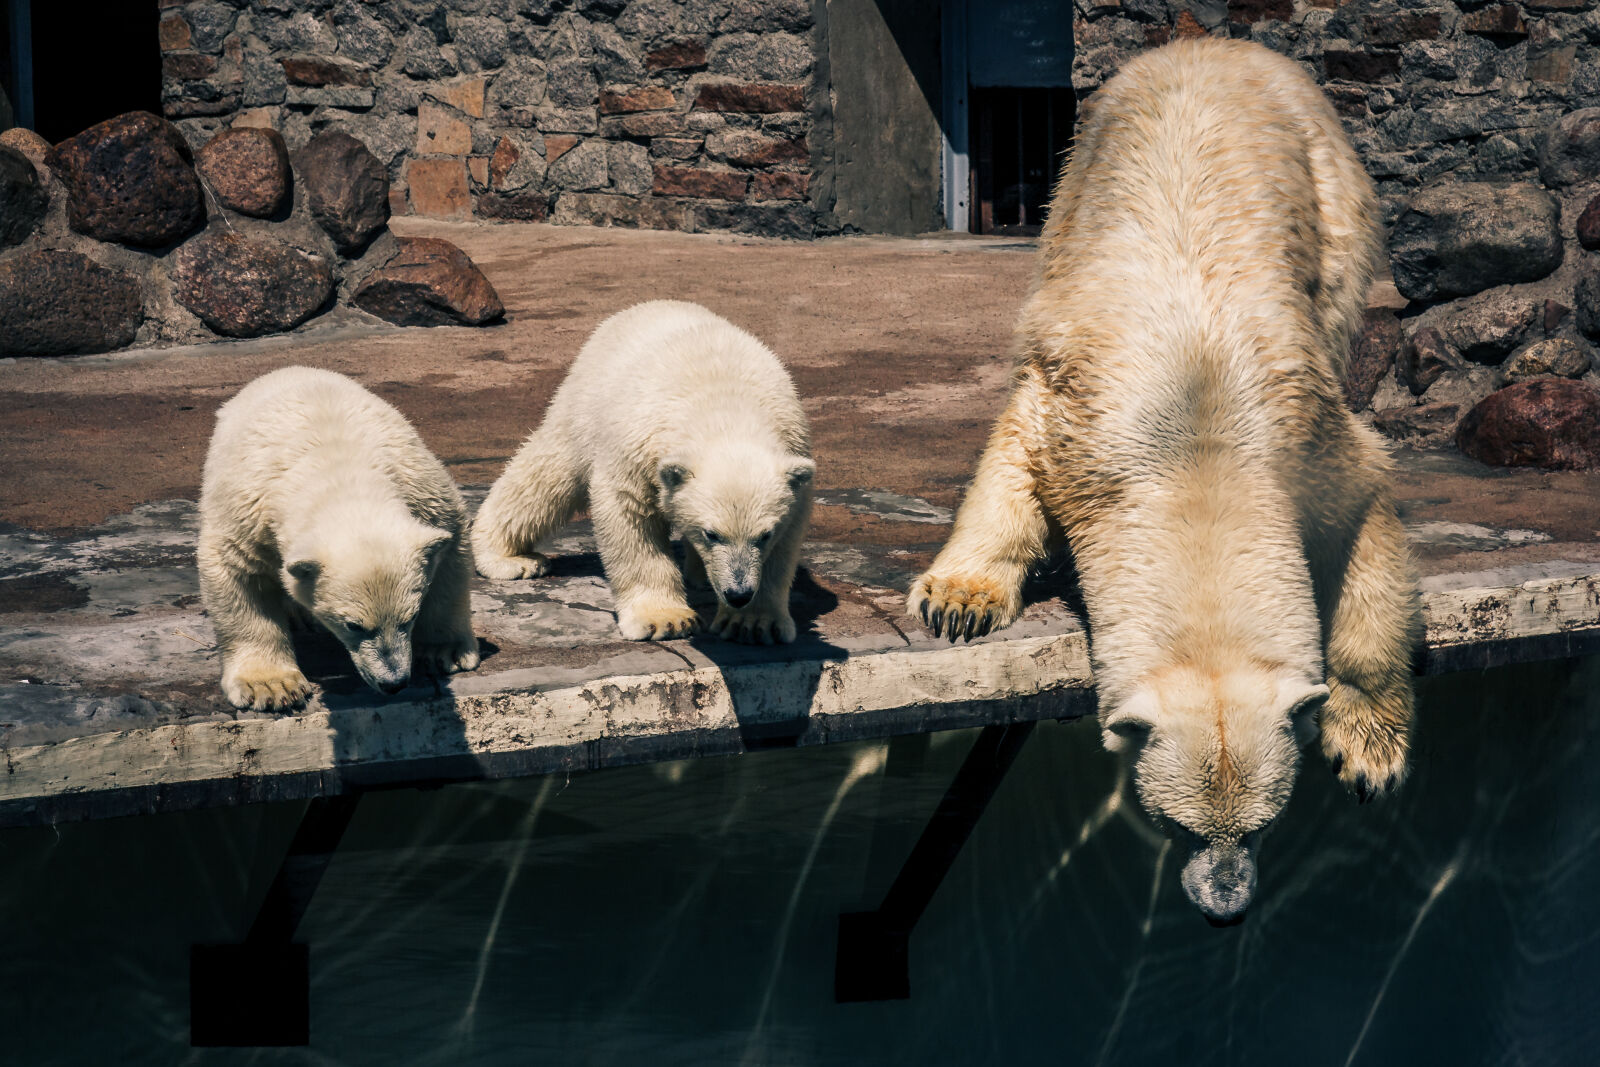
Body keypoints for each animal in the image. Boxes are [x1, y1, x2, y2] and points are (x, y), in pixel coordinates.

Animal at [199, 367, 476, 710]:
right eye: (353, 625)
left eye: (409, 618)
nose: (394, 683)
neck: (336, 467)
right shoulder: (247, 511)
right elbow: (238, 571)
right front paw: (270, 687)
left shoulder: (422, 490)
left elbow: (450, 548)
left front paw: (444, 650)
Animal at [467, 303, 806, 646]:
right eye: (711, 534)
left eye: (764, 535)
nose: (738, 593)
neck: (722, 408)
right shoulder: (638, 446)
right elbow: (630, 516)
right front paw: (666, 620)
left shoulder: (793, 448)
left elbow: (786, 539)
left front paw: (752, 622)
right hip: (584, 403)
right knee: (548, 474)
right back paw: (510, 558)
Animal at [908, 39, 1420, 927]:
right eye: (1177, 824)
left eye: (1264, 824)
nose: (1226, 909)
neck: (1197, 442)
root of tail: (1216, 42)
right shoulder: (1077, 411)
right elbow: (1012, 457)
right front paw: (960, 601)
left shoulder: (1309, 441)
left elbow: (1367, 516)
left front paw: (1368, 751)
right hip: (1075, 180)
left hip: (1332, 195)